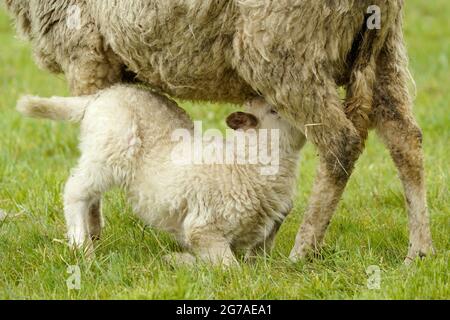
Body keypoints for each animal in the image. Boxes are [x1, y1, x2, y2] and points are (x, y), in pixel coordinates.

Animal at [17, 85, 306, 264]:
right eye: (274, 111)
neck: (244, 165)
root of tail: (102, 94)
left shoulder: (261, 238)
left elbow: (255, 263)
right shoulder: (203, 228)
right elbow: (229, 268)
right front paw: (181, 261)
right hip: (110, 146)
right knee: (75, 190)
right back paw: (81, 246)